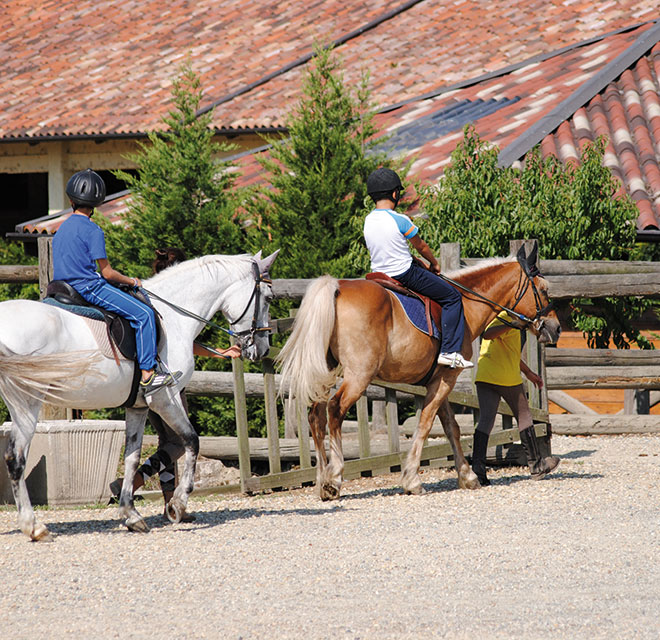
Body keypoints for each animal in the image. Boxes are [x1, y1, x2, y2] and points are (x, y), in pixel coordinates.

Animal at [0, 250, 278, 540]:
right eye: (269, 298)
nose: (262, 348)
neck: (173, 316)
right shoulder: (165, 398)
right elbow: (192, 440)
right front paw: (178, 504)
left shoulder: (138, 406)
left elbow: (132, 456)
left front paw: (130, 515)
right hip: (27, 402)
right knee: (16, 459)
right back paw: (34, 526)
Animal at [276, 245, 560, 500]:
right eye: (544, 291)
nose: (555, 328)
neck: (466, 304)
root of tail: (338, 288)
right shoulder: (446, 379)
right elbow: (425, 424)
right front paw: (412, 479)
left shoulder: (440, 379)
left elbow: (451, 427)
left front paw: (467, 475)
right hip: (359, 375)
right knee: (335, 409)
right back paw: (334, 477)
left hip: (327, 372)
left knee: (316, 416)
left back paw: (321, 480)